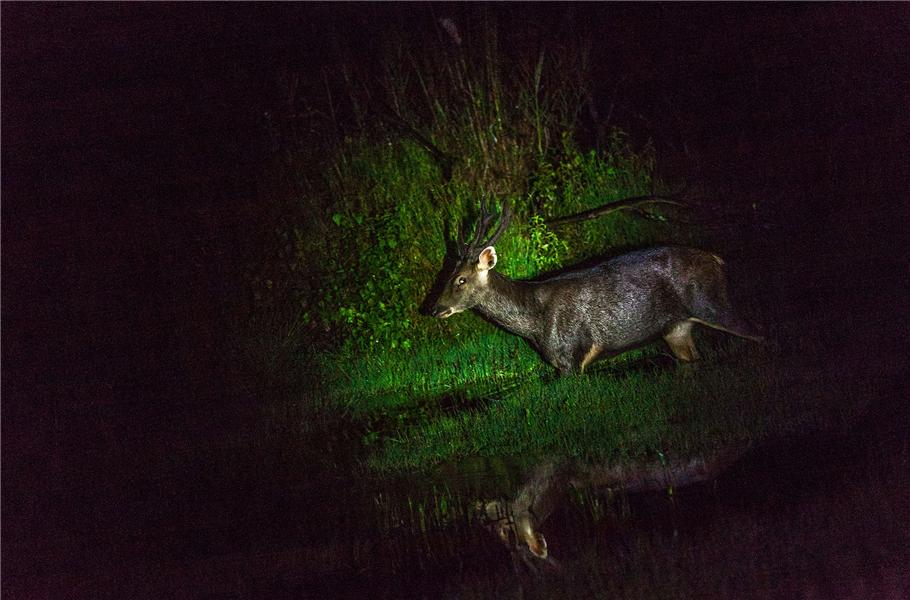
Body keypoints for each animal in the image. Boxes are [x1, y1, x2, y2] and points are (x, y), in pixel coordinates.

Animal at [428, 200, 764, 376]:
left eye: (461, 279)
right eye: (447, 274)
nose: (434, 308)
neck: (534, 322)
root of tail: (717, 259)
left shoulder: (570, 357)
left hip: (714, 304)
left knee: (758, 333)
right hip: (676, 329)